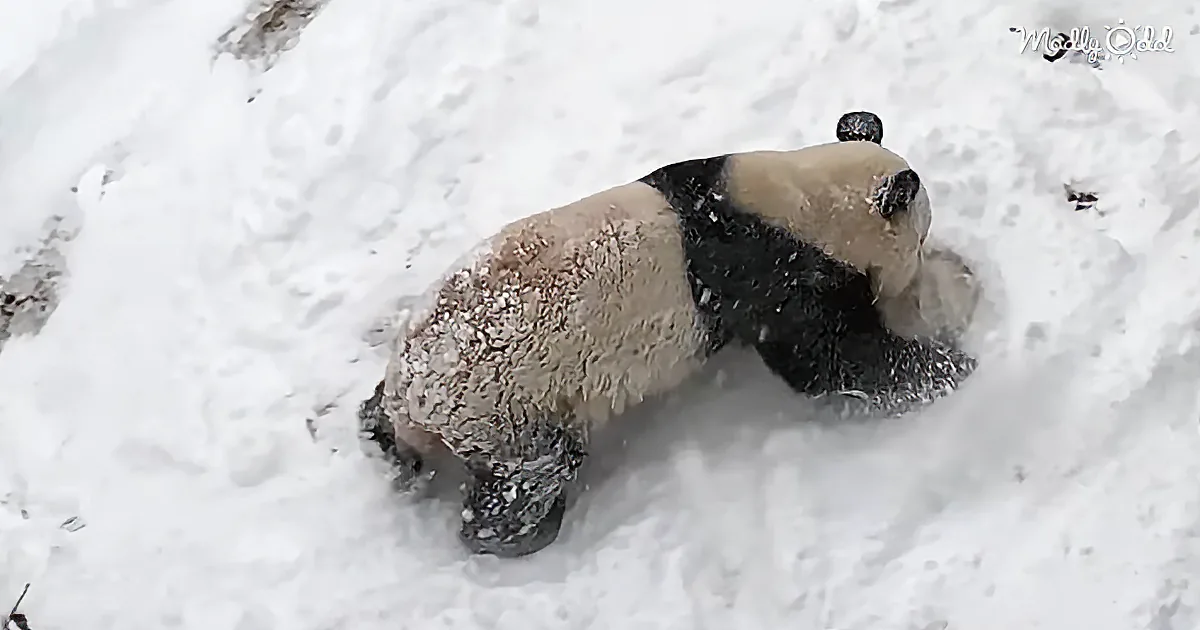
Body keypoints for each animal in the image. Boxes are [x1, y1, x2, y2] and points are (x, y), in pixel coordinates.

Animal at [357, 111, 978, 558]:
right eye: (920, 240)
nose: (916, 274)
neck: (799, 198)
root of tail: (412, 400)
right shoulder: (768, 276)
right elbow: (826, 359)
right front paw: (948, 365)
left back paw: (380, 435)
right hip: (506, 409)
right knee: (534, 471)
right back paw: (511, 535)